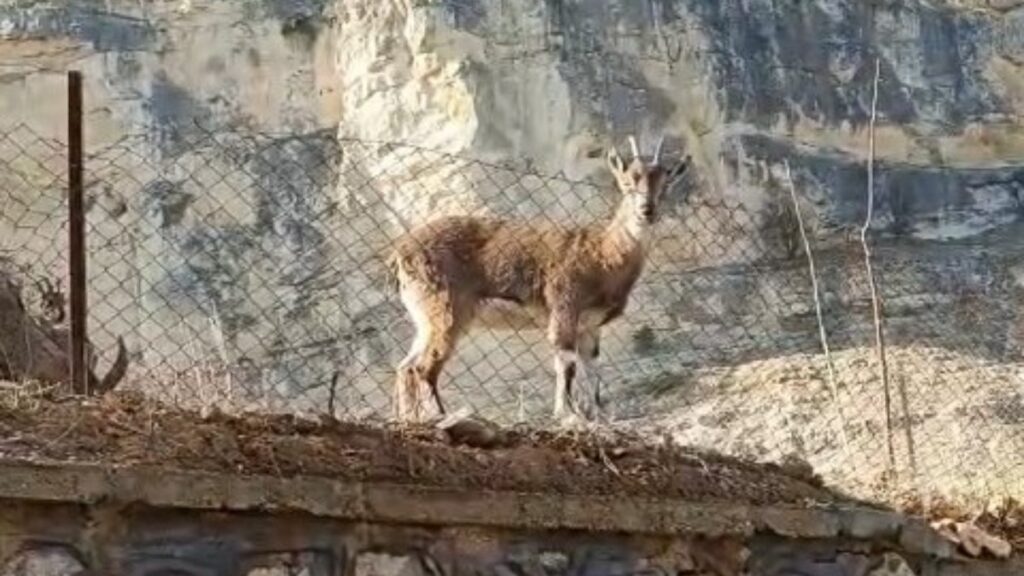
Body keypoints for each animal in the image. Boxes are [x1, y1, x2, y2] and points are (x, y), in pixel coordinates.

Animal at [387, 134, 692, 422]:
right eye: (627, 184)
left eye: (664, 186)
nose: (647, 210)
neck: (605, 256)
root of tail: (400, 253)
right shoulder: (564, 306)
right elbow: (566, 363)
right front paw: (567, 414)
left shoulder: (590, 326)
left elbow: (592, 369)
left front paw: (597, 415)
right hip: (446, 308)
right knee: (424, 367)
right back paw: (440, 415)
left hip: (425, 316)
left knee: (405, 366)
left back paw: (407, 417)